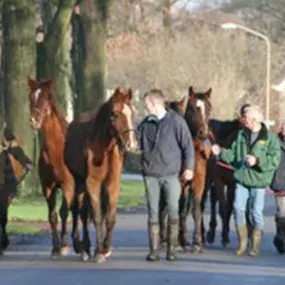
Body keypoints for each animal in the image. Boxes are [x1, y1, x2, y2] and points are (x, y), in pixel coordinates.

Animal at [27, 78, 80, 258]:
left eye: (46, 97)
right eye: (31, 97)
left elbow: (64, 212)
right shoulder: (47, 186)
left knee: (77, 209)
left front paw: (64, 246)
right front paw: (55, 248)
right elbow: (52, 216)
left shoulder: (68, 184)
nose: (34, 120)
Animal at [63, 86, 137, 262]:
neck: (102, 148)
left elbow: (109, 217)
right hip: (78, 181)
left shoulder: (112, 183)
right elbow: (96, 216)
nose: (131, 145)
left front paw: (105, 249)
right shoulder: (92, 182)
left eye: (132, 113)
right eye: (115, 115)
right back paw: (82, 248)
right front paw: (98, 252)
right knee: (79, 211)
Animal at [160, 85, 211, 252]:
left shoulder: (198, 182)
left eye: (209, 107)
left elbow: (195, 209)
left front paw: (197, 241)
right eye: (194, 108)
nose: (203, 133)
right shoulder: (177, 183)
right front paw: (176, 240)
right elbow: (176, 208)